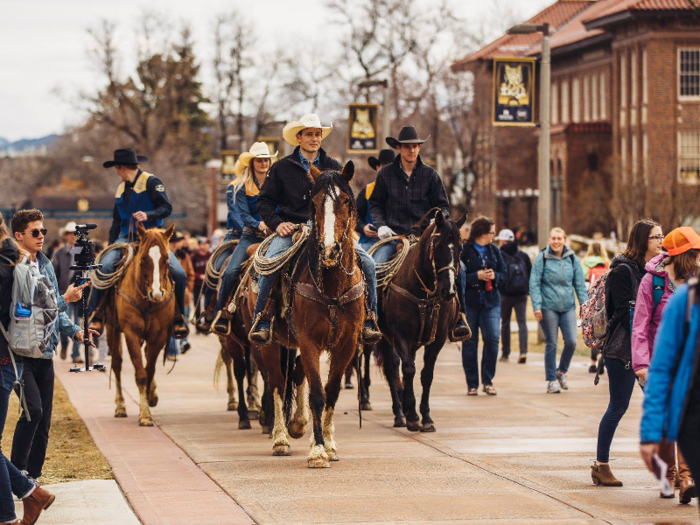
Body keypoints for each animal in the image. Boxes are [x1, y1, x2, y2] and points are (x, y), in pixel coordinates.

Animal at [108, 223, 178, 424]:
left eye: (167, 258)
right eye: (144, 259)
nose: (157, 294)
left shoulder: (159, 335)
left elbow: (150, 369)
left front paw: (148, 402)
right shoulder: (131, 333)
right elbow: (141, 373)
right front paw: (145, 414)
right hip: (111, 328)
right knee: (117, 364)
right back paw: (120, 406)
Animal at [378, 209, 464, 430]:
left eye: (461, 248)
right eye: (438, 246)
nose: (448, 291)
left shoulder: (438, 338)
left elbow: (427, 374)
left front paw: (425, 416)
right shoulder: (399, 335)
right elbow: (408, 369)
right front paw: (412, 417)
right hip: (384, 338)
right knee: (392, 369)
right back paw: (400, 414)